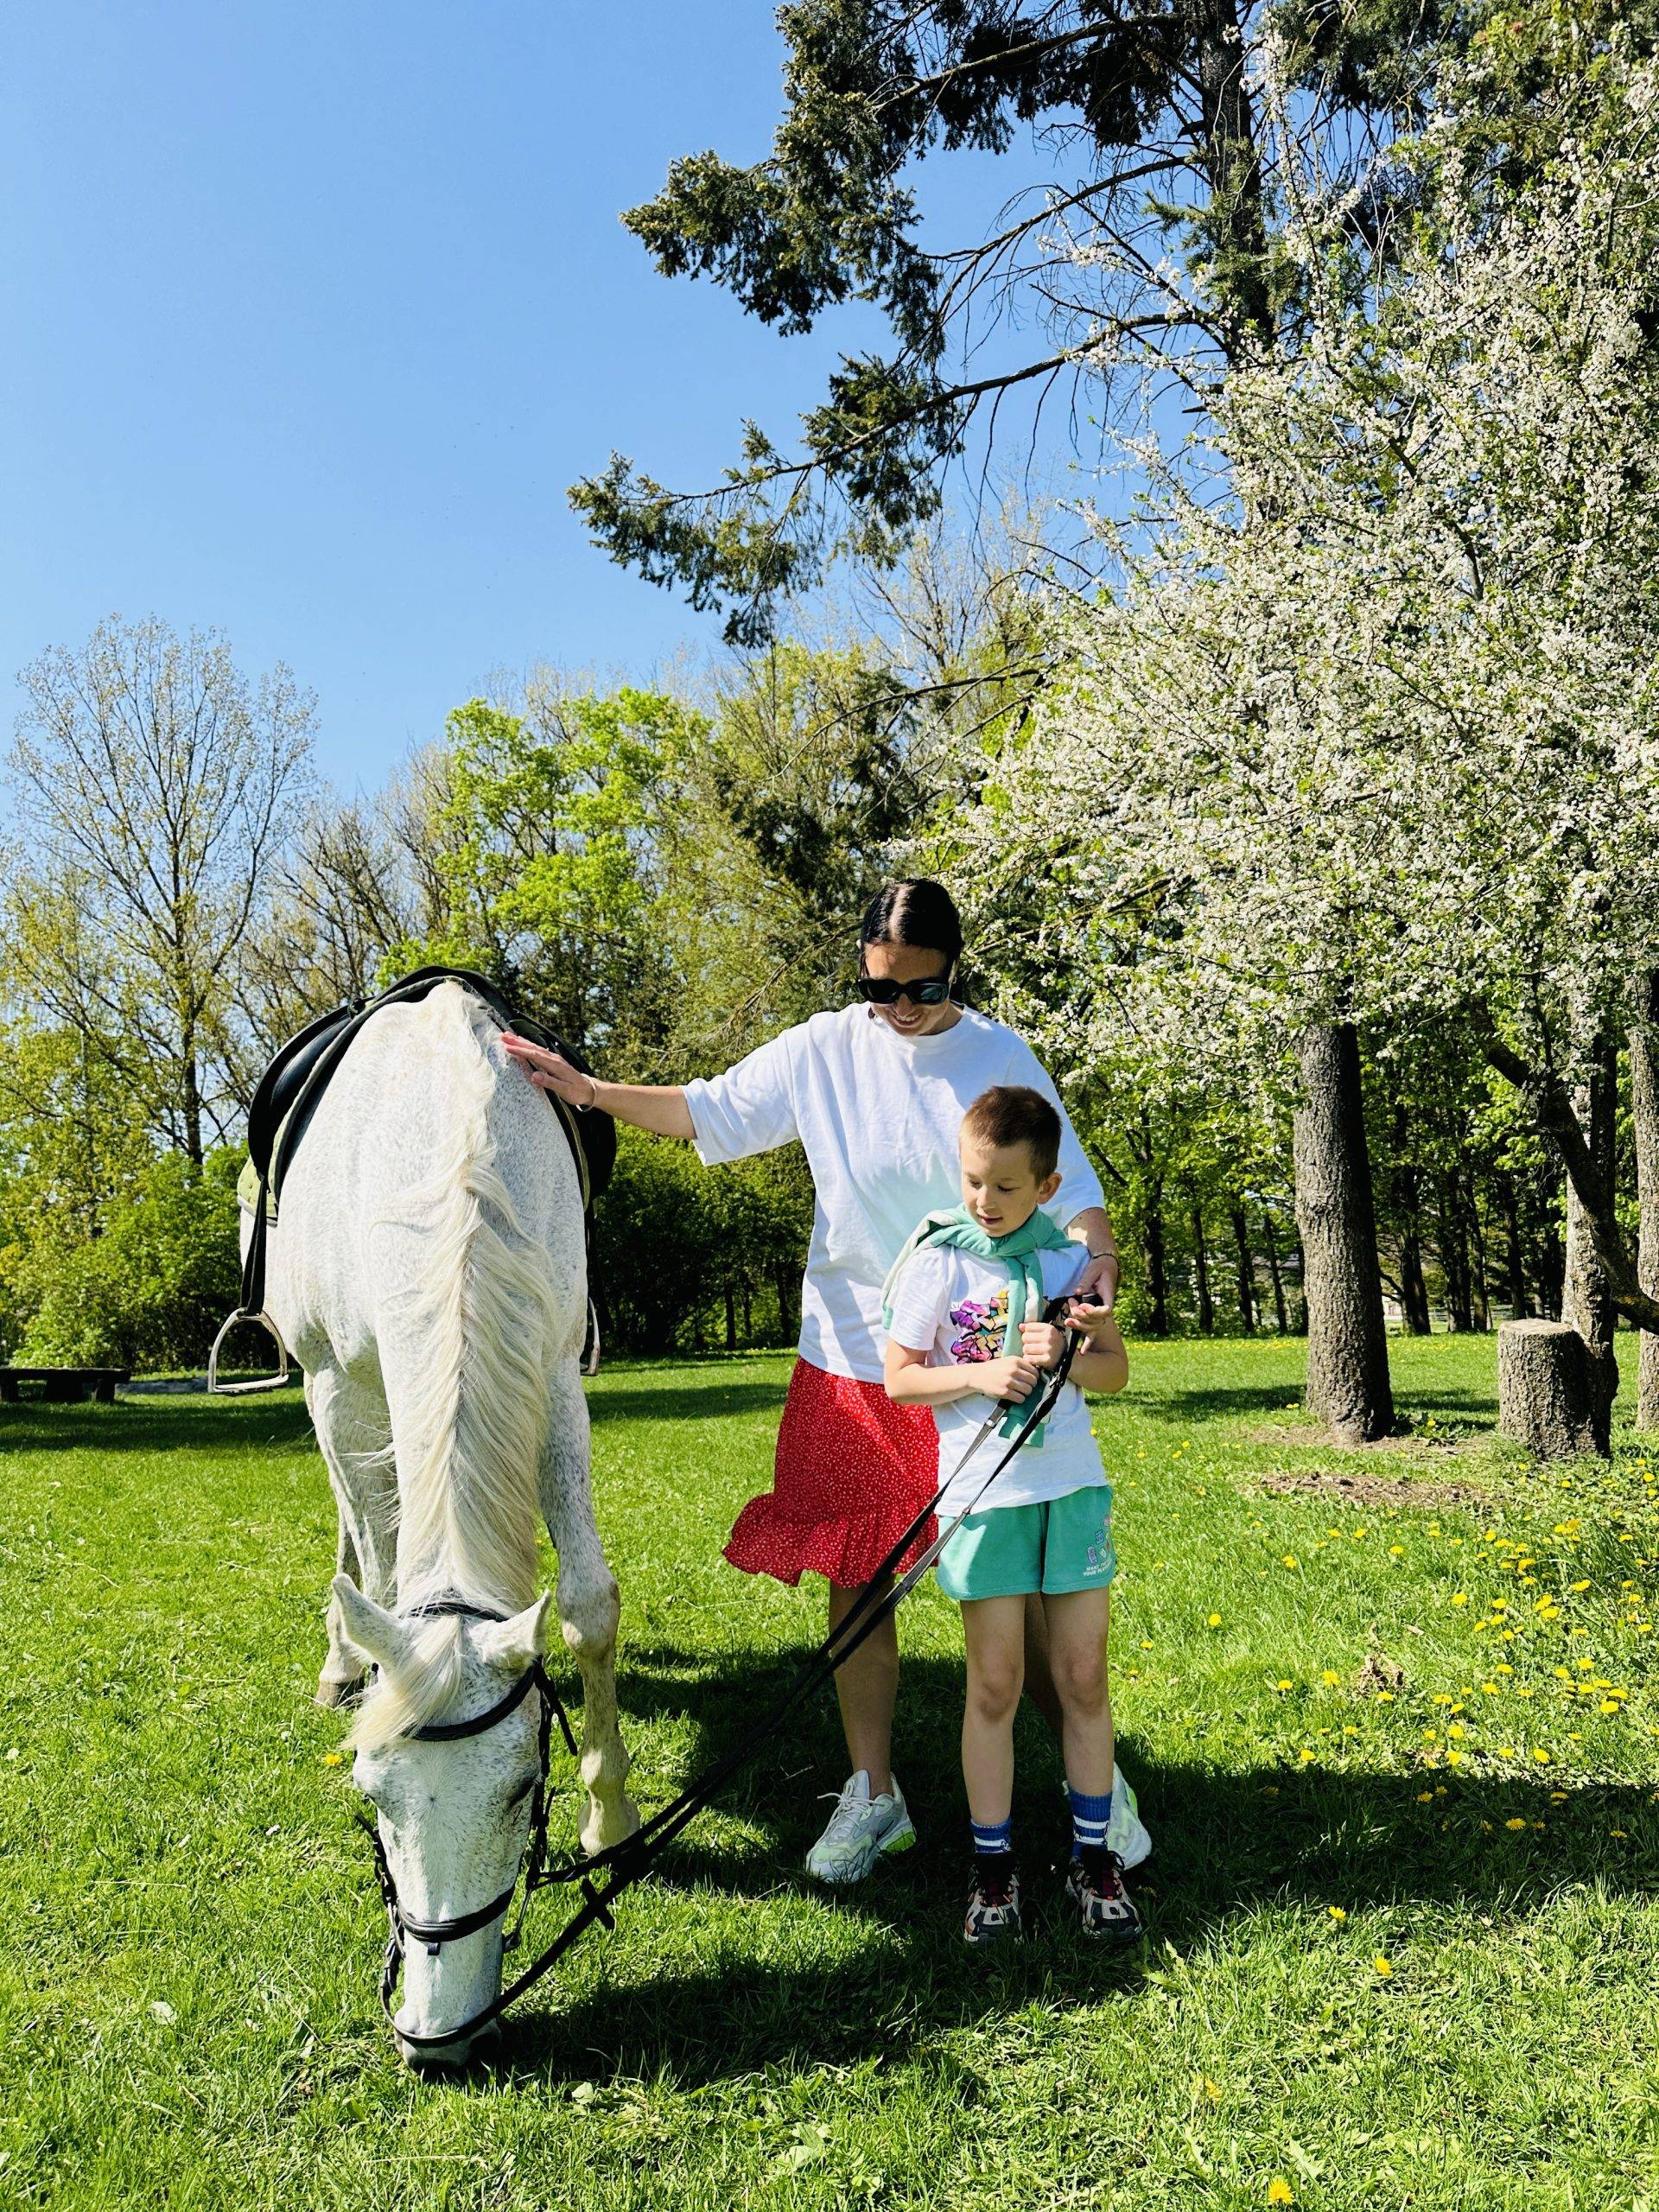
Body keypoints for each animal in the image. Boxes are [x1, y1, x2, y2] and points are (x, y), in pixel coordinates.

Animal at [256, 982, 641, 2052]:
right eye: (369, 1794)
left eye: (523, 1789)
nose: (437, 2036)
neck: (446, 1142)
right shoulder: (339, 1387)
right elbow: (378, 1567)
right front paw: (355, 1663)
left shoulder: (554, 1371)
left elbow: (589, 1602)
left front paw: (611, 1816)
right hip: (331, 1395)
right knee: (355, 1528)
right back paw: (339, 1661)